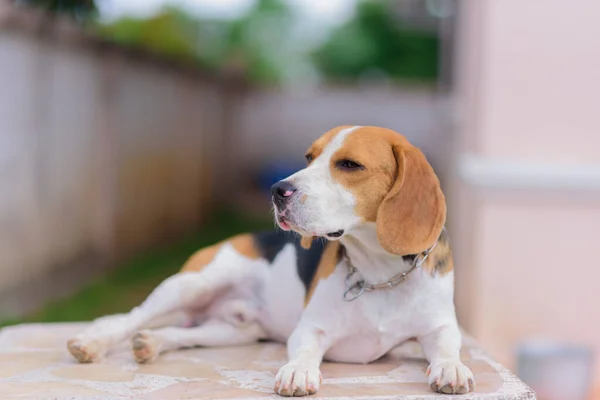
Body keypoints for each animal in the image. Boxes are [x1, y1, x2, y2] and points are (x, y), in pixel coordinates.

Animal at [68, 126, 476, 396]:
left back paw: (152, 342)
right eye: (309, 158)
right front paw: (298, 371)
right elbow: (307, 350)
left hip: (234, 330)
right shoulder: (310, 328)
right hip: (192, 284)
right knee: (129, 318)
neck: (378, 274)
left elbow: (447, 345)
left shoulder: (439, 326)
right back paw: (93, 342)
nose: (279, 190)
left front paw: (452, 367)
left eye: (349, 164)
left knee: (182, 334)